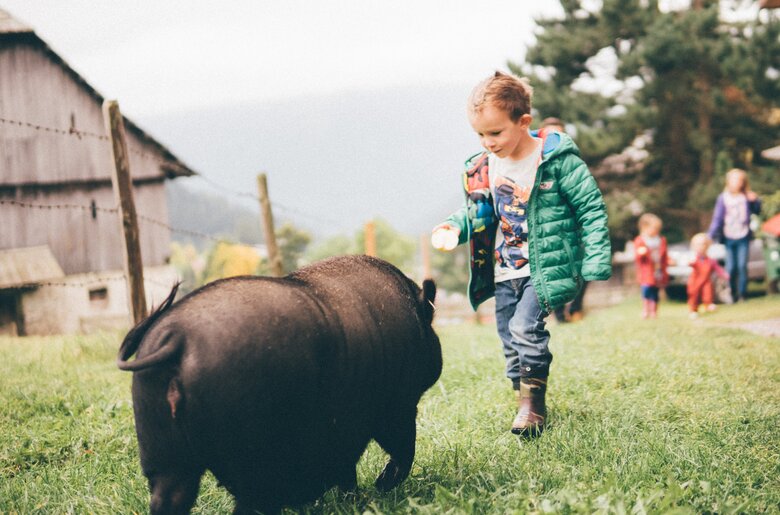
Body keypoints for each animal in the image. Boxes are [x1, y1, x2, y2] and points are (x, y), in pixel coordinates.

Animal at [119, 256, 442, 512]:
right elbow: (400, 448)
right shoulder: (396, 404)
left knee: (170, 496)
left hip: (164, 457)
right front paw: (379, 486)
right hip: (250, 456)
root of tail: (177, 338)